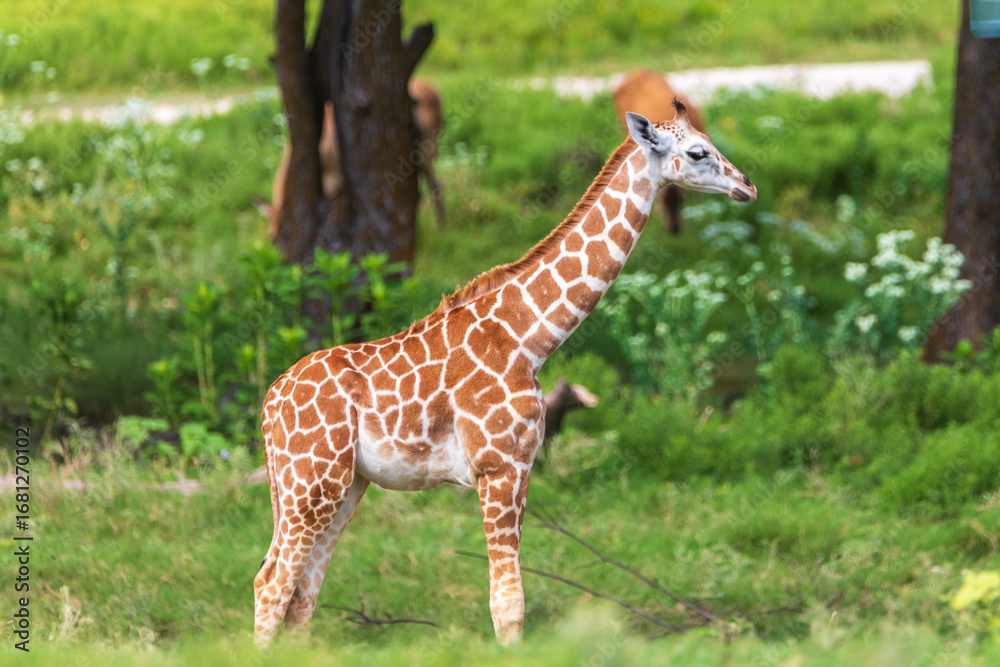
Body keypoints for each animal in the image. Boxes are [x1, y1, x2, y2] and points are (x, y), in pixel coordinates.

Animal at [252, 101, 757, 646]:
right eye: (698, 151)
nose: (747, 186)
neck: (529, 338)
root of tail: (270, 404)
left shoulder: (521, 466)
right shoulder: (500, 466)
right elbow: (508, 602)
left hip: (339, 486)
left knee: (299, 594)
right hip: (310, 483)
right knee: (272, 584)